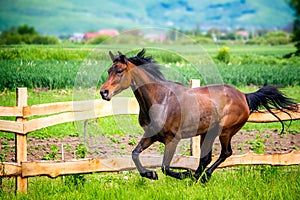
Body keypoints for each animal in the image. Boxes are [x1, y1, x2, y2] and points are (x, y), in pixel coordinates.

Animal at [99, 48, 296, 183]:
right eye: (108, 70)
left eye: (119, 71)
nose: (103, 92)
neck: (160, 99)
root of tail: (244, 96)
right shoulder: (151, 135)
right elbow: (135, 154)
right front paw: (150, 174)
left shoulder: (172, 138)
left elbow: (165, 167)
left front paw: (183, 174)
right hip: (206, 132)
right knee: (206, 158)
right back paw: (197, 177)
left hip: (225, 131)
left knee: (225, 153)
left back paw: (202, 177)